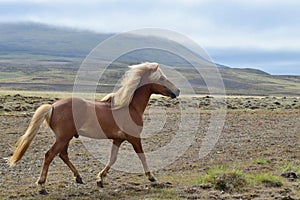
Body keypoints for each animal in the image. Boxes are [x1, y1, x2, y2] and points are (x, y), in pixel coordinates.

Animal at [8, 61, 180, 195]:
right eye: (162, 78)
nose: (177, 91)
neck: (130, 107)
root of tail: (52, 107)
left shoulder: (118, 139)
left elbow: (112, 158)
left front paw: (100, 180)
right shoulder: (134, 138)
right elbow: (142, 156)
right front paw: (151, 177)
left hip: (66, 137)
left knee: (63, 154)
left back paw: (79, 178)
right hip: (63, 137)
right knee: (50, 154)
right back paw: (42, 186)